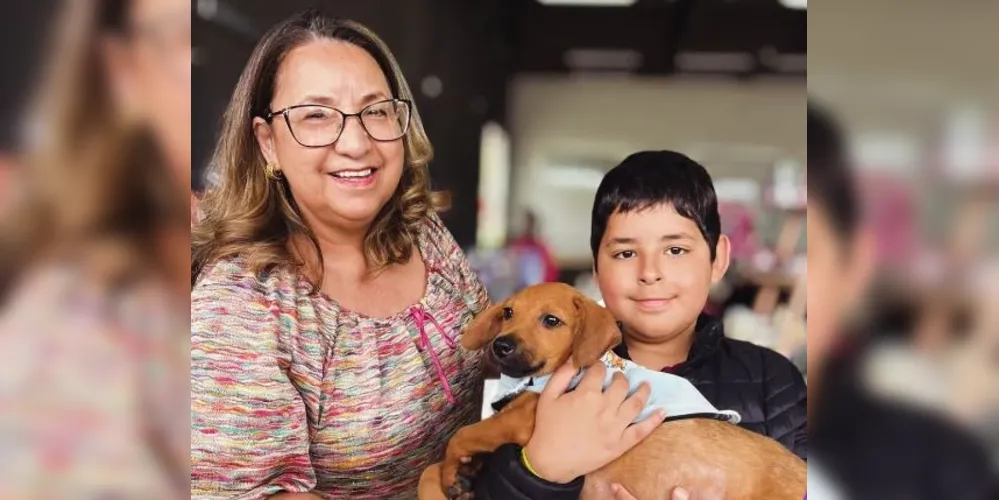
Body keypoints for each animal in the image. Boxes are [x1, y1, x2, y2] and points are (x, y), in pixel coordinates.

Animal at [418, 284, 808, 500]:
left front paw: (451, 472)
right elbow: (431, 471)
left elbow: (462, 436)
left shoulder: (524, 421)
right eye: (508, 313)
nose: (500, 346)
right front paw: (459, 476)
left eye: (551, 321)